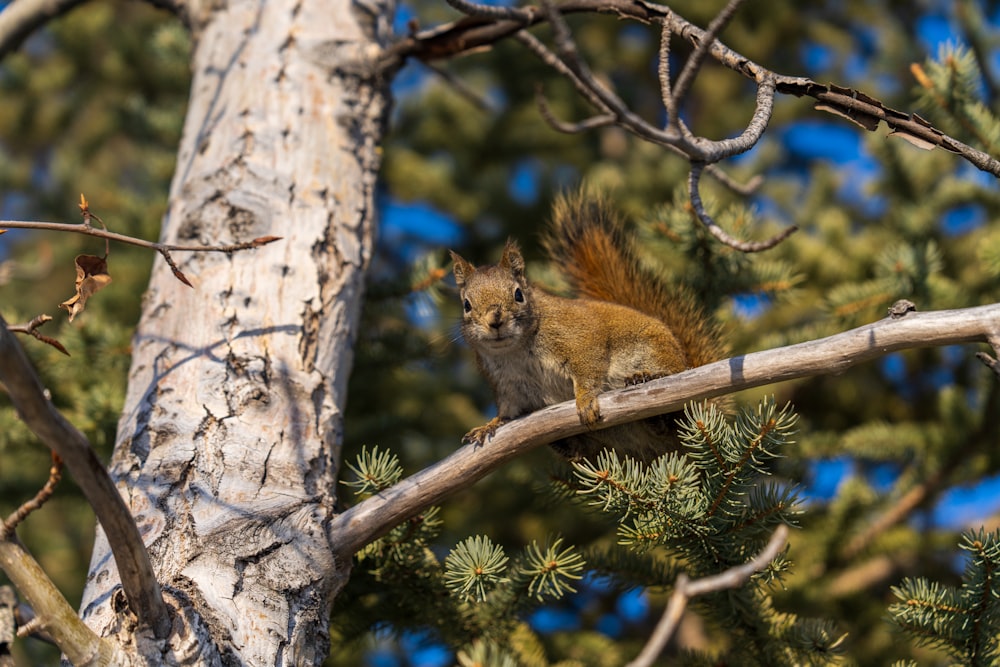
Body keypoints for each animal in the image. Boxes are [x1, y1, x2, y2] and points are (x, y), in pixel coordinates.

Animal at [452, 190, 728, 462]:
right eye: (466, 304)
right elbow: (508, 414)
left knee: (673, 408)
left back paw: (646, 379)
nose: (495, 321)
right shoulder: (508, 387)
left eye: (518, 294)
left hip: (657, 355)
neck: (516, 351)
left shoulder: (581, 337)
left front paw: (585, 400)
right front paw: (489, 425)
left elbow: (589, 370)